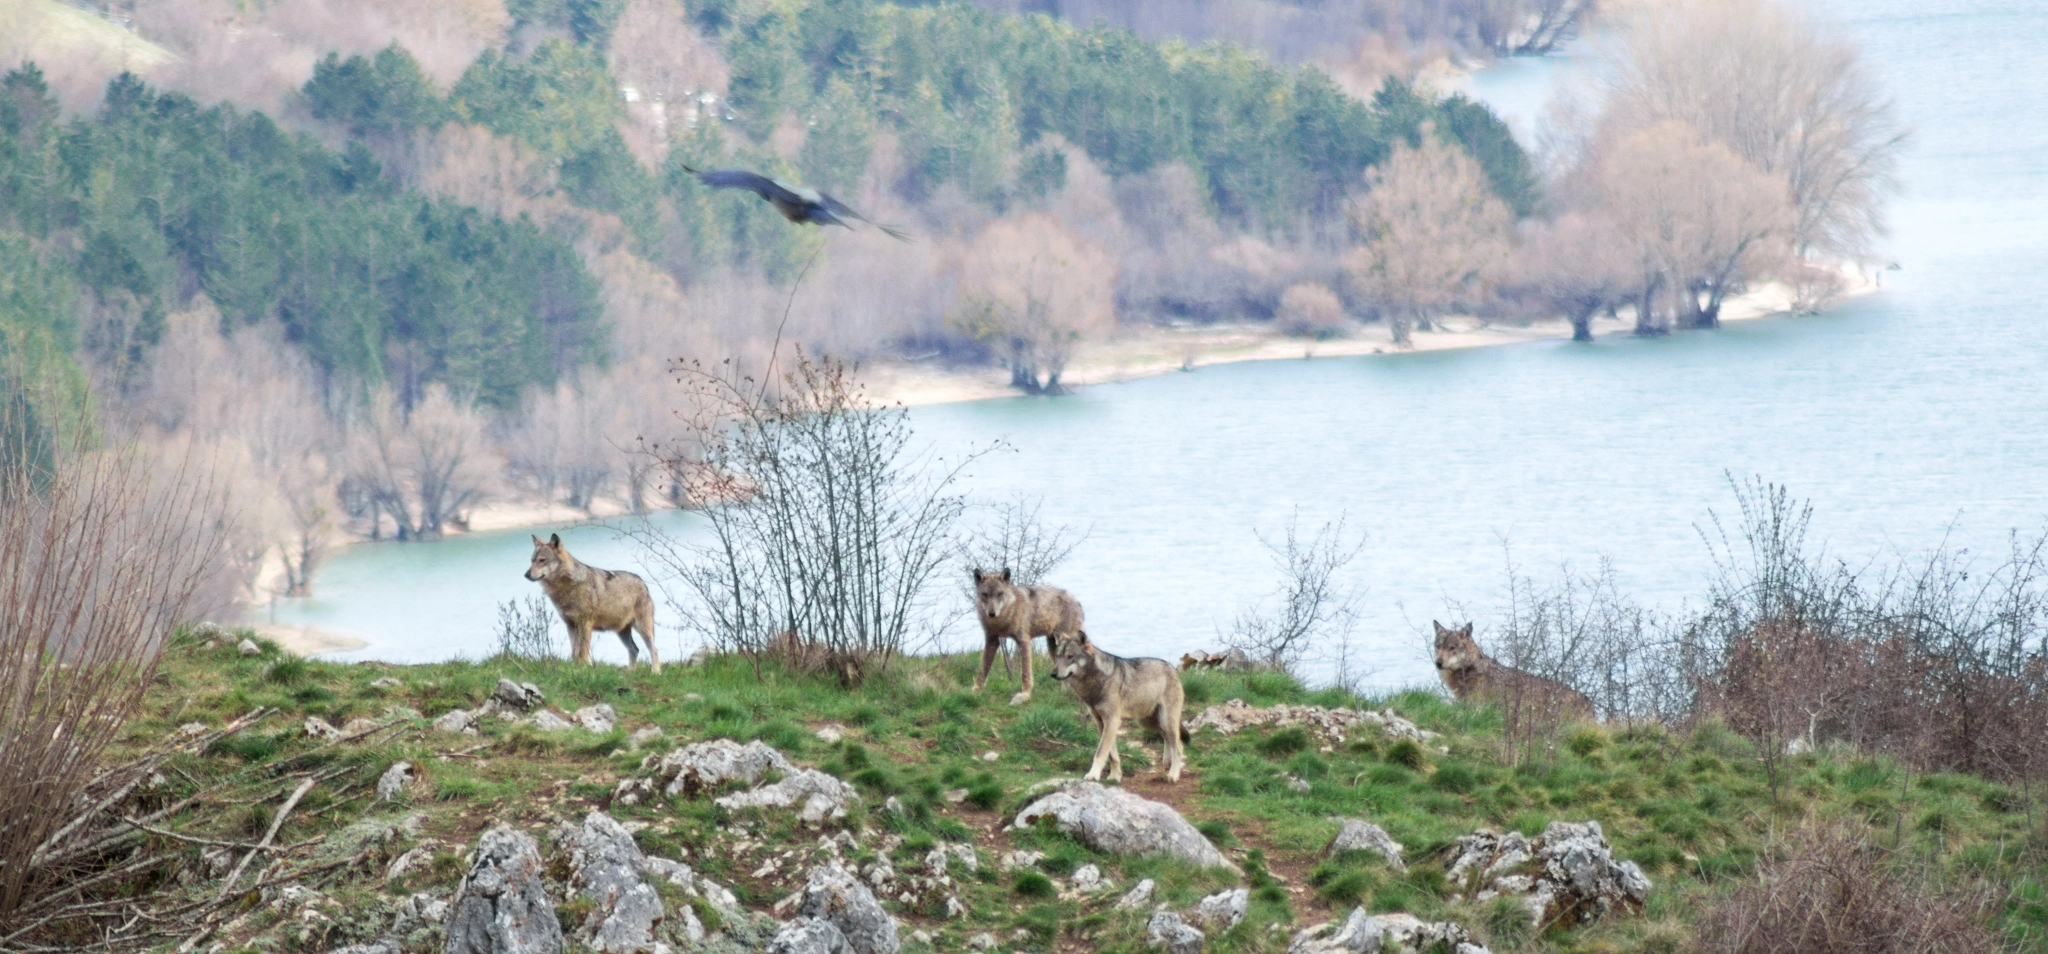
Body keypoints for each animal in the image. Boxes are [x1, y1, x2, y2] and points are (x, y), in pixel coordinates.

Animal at [524, 532, 659, 675]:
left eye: (542, 560)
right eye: (532, 561)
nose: (526, 574)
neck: (568, 587)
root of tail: (642, 581)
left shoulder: (585, 624)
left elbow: (582, 652)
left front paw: (583, 670)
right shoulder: (571, 625)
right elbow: (574, 653)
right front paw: (576, 669)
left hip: (643, 629)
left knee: (654, 649)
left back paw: (655, 672)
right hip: (622, 632)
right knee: (634, 649)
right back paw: (630, 672)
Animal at [974, 565, 1089, 708]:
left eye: (1000, 594)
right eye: (985, 594)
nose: (991, 613)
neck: (1002, 621)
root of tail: (1077, 601)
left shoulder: (1023, 641)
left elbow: (1025, 673)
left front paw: (1024, 695)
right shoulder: (992, 640)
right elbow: (983, 670)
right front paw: (976, 692)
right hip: (1054, 649)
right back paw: (1064, 693)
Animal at [1048, 634, 1196, 782]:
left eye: (1070, 656)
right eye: (1058, 656)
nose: (1052, 674)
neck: (1096, 681)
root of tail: (1172, 668)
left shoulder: (1112, 721)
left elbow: (1100, 753)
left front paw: (1093, 775)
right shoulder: (1102, 723)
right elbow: (1112, 755)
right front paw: (1114, 776)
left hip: (1165, 721)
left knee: (1178, 747)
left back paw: (1173, 775)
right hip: (1149, 723)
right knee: (1167, 738)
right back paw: (1167, 762)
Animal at [1433, 622, 1589, 720]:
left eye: (1452, 648)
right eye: (1438, 646)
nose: (1438, 663)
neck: (1471, 671)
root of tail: (1589, 703)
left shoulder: (1476, 705)